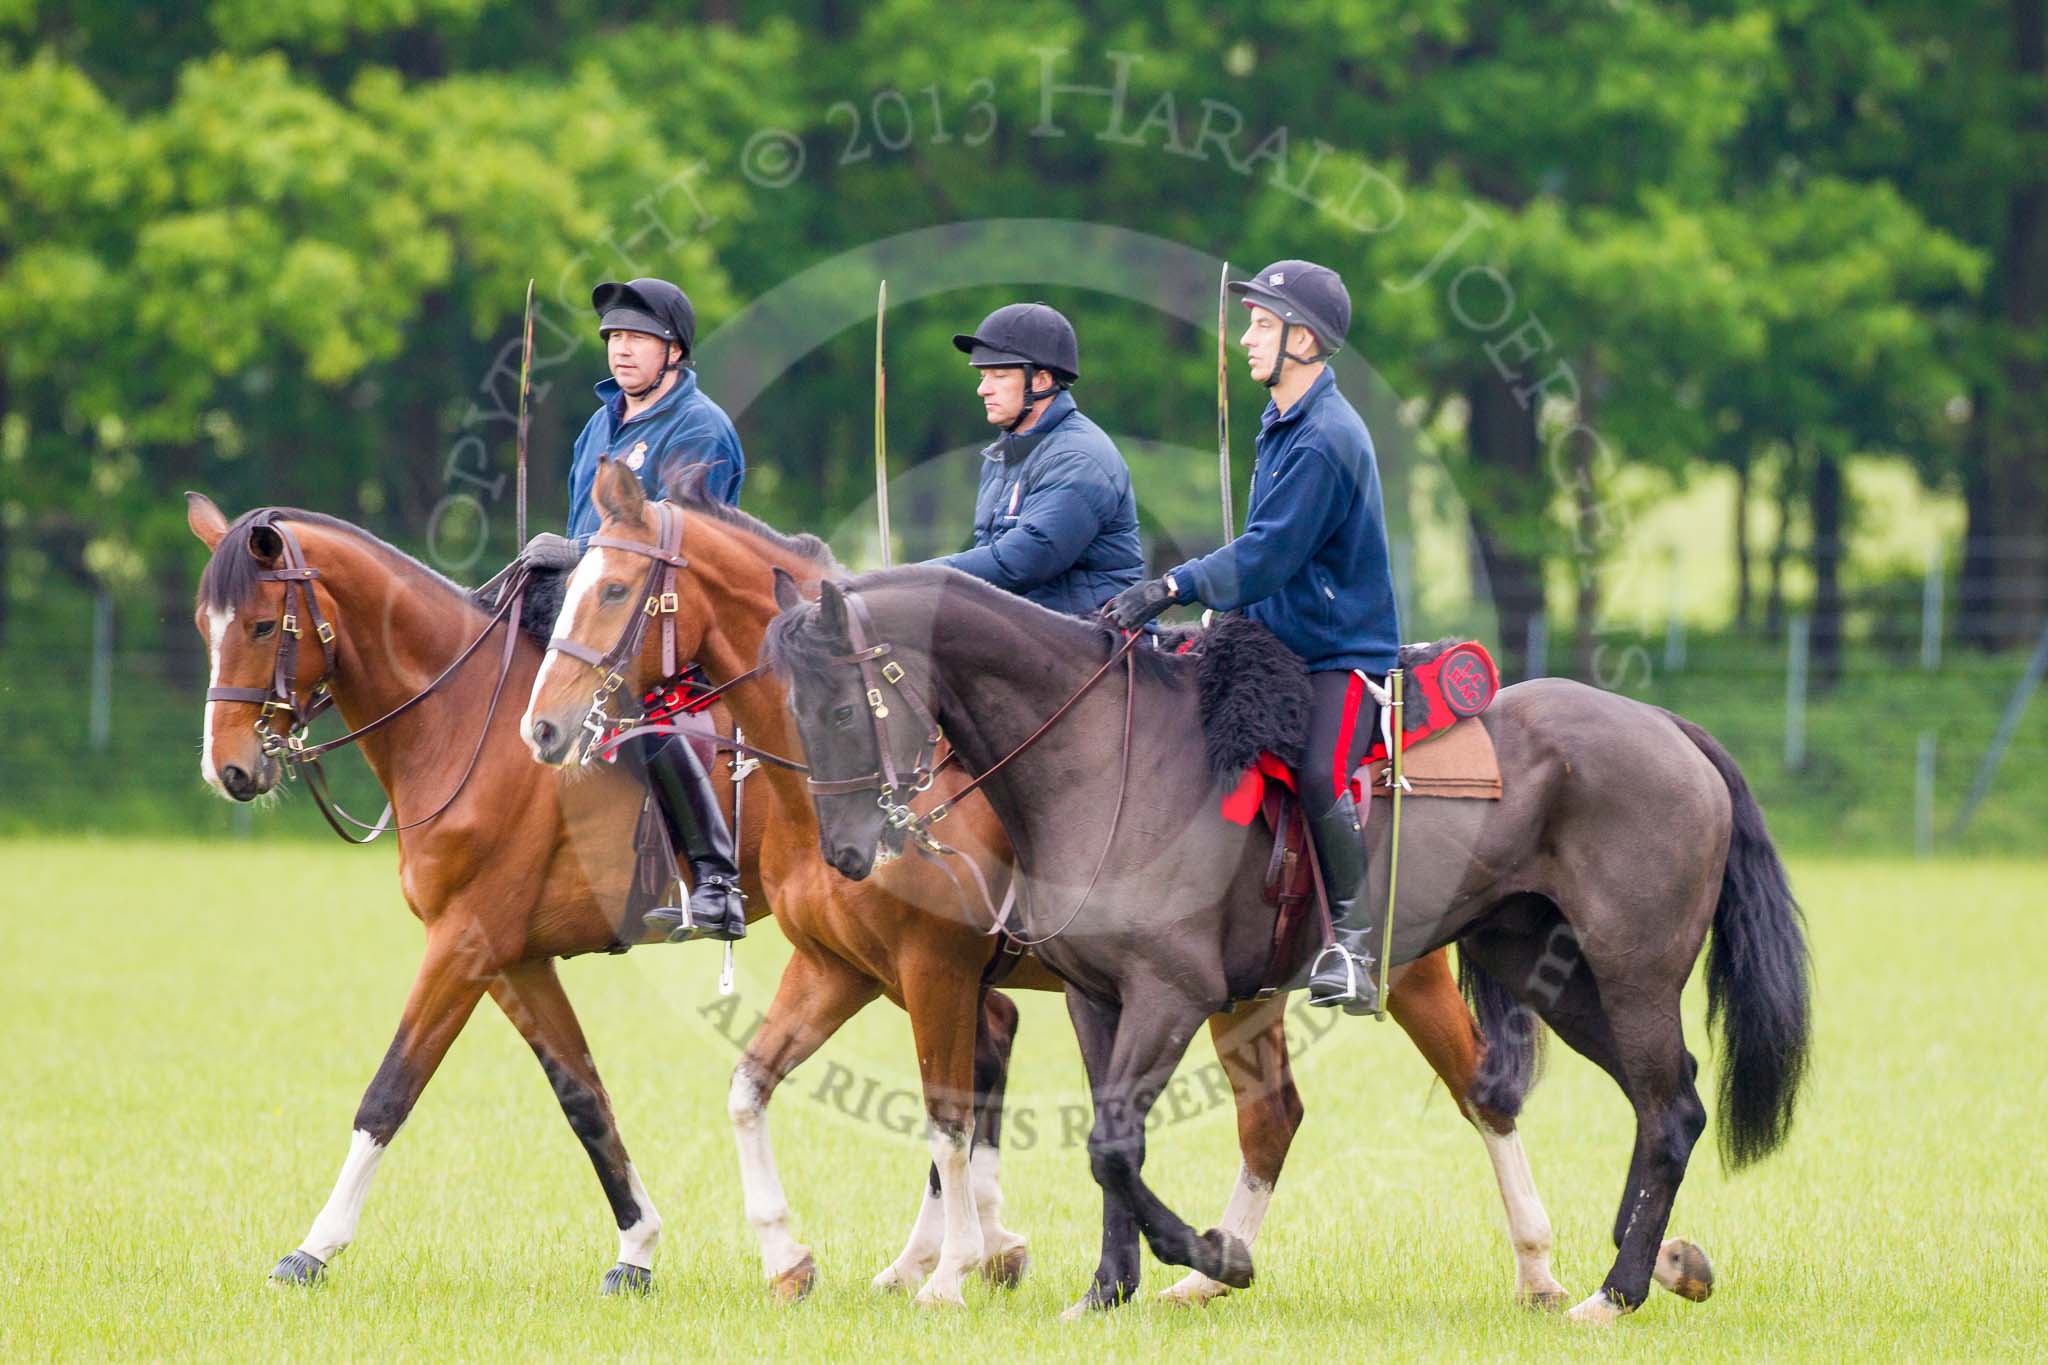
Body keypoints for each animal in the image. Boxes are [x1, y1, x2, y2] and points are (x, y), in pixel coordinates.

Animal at [524, 464, 1564, 1317]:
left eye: (613, 589)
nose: (544, 727)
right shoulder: (841, 969)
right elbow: (754, 1089)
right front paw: (800, 1257)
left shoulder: (941, 970)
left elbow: (949, 1121)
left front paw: (953, 1269)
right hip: (1247, 992)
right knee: (1273, 1118)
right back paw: (1205, 1271)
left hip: (1399, 973)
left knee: (1483, 1094)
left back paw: (1538, 1266)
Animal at [765, 564, 1810, 1326]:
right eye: (796, 712)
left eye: (844, 708)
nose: (849, 852)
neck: (1102, 756)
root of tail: (1665, 725)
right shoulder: (1098, 999)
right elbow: (1106, 1143)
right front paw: (1108, 1289)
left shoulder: (1165, 994)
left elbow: (1107, 1144)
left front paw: (1211, 1257)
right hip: (1554, 972)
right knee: (1652, 1102)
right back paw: (1649, 1268)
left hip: (1629, 973)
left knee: (1660, 1110)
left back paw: (1612, 1290)